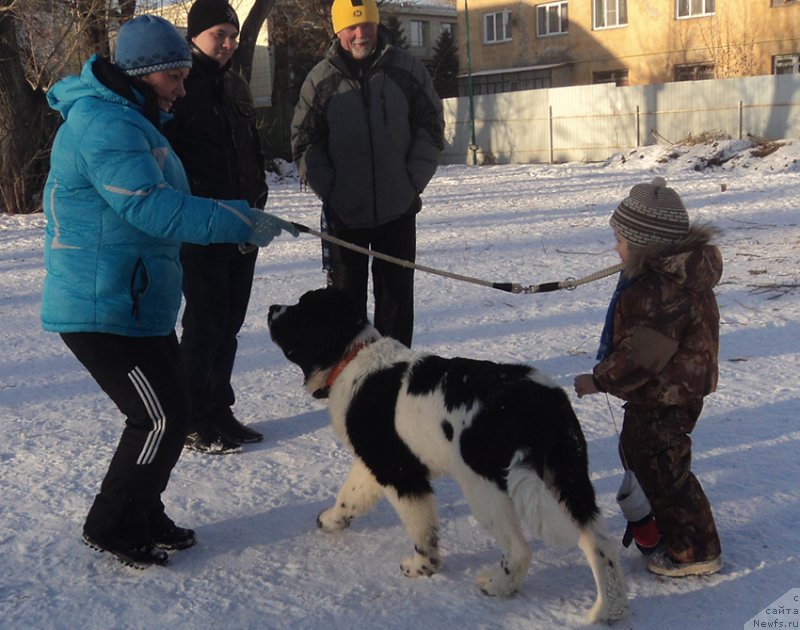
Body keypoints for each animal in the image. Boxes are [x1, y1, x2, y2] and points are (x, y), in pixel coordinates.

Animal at [268, 292, 624, 628]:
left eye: (300, 309)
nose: (271, 308)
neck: (352, 357)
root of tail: (540, 403)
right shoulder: (379, 461)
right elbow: (350, 494)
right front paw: (332, 520)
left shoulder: (400, 472)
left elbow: (420, 524)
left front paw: (421, 567)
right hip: (568, 474)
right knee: (600, 544)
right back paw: (608, 610)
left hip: (483, 485)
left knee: (520, 548)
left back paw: (497, 585)